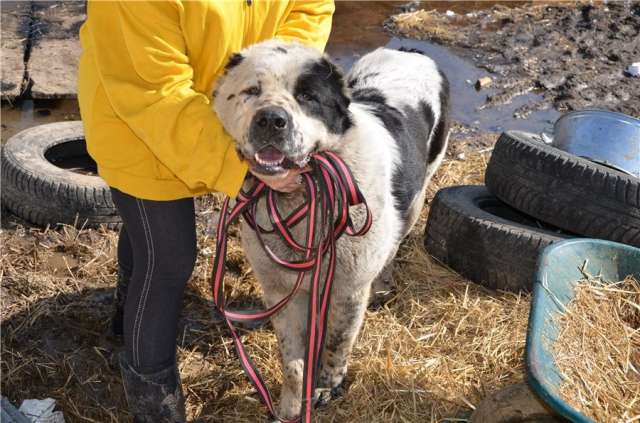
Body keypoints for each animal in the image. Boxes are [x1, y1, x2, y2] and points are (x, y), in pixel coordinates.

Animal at [212, 40, 448, 420]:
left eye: (308, 96)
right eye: (251, 91)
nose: (271, 120)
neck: (300, 198)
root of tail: (411, 50)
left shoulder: (347, 289)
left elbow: (337, 343)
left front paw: (324, 388)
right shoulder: (280, 290)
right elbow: (292, 360)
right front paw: (290, 405)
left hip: (417, 194)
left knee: (395, 242)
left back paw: (384, 284)